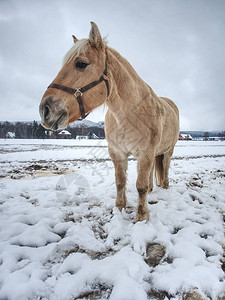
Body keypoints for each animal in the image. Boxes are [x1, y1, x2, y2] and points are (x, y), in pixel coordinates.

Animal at [38, 22, 179, 221]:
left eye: (81, 64)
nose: (45, 110)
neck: (129, 115)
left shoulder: (145, 154)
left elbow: (140, 186)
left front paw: (141, 217)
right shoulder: (118, 153)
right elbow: (120, 182)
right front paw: (119, 209)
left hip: (167, 151)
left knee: (165, 169)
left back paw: (164, 189)